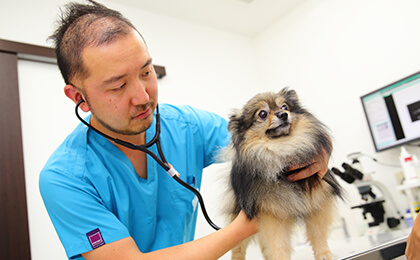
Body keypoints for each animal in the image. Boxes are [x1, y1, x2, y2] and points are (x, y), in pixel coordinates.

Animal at [225, 88, 342, 260]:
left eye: (285, 107)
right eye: (262, 114)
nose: (283, 114)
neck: (283, 148)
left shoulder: (317, 201)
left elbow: (318, 233)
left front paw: (324, 254)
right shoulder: (271, 214)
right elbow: (278, 245)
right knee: (238, 247)